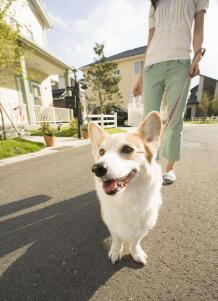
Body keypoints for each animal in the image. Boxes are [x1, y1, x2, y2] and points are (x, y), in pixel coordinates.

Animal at [88, 111, 162, 264]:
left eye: (127, 149)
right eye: (101, 152)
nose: (97, 168)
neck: (125, 197)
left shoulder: (143, 227)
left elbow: (135, 242)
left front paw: (136, 253)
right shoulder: (112, 224)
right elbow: (117, 239)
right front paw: (116, 251)